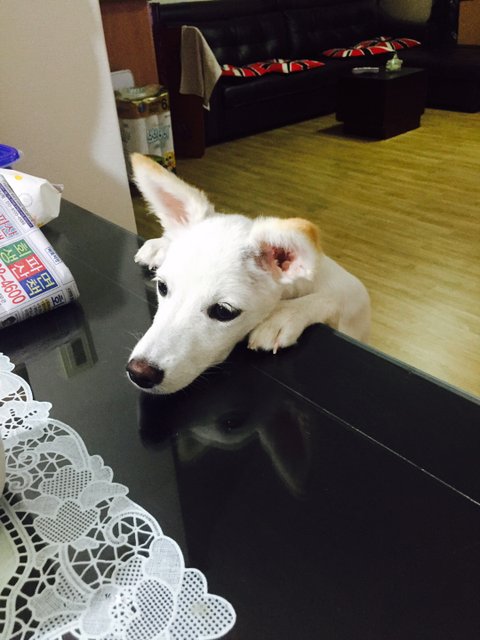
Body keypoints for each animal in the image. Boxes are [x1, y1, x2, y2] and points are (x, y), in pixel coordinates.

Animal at [126, 153, 370, 394]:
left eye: (223, 312)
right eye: (162, 287)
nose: (140, 373)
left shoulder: (355, 294)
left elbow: (329, 298)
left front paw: (284, 316)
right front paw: (162, 245)